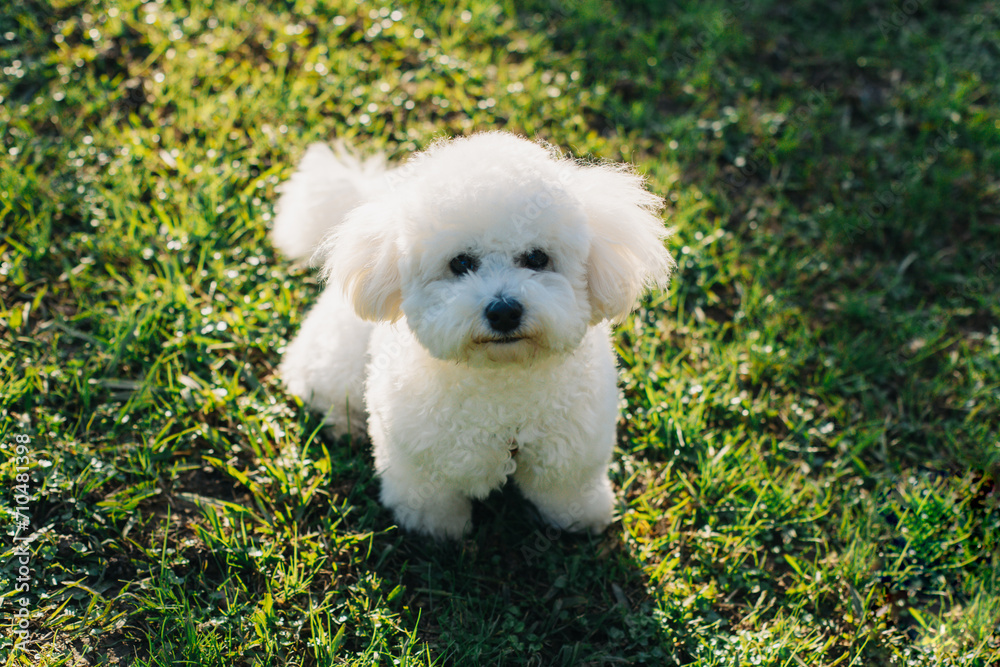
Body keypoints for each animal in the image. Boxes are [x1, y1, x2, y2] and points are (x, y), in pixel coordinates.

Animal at [276, 133, 672, 540]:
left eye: (537, 258)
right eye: (461, 263)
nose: (504, 311)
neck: (502, 385)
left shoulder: (573, 449)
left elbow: (567, 490)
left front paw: (581, 519)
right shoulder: (419, 460)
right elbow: (431, 500)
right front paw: (438, 531)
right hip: (336, 357)